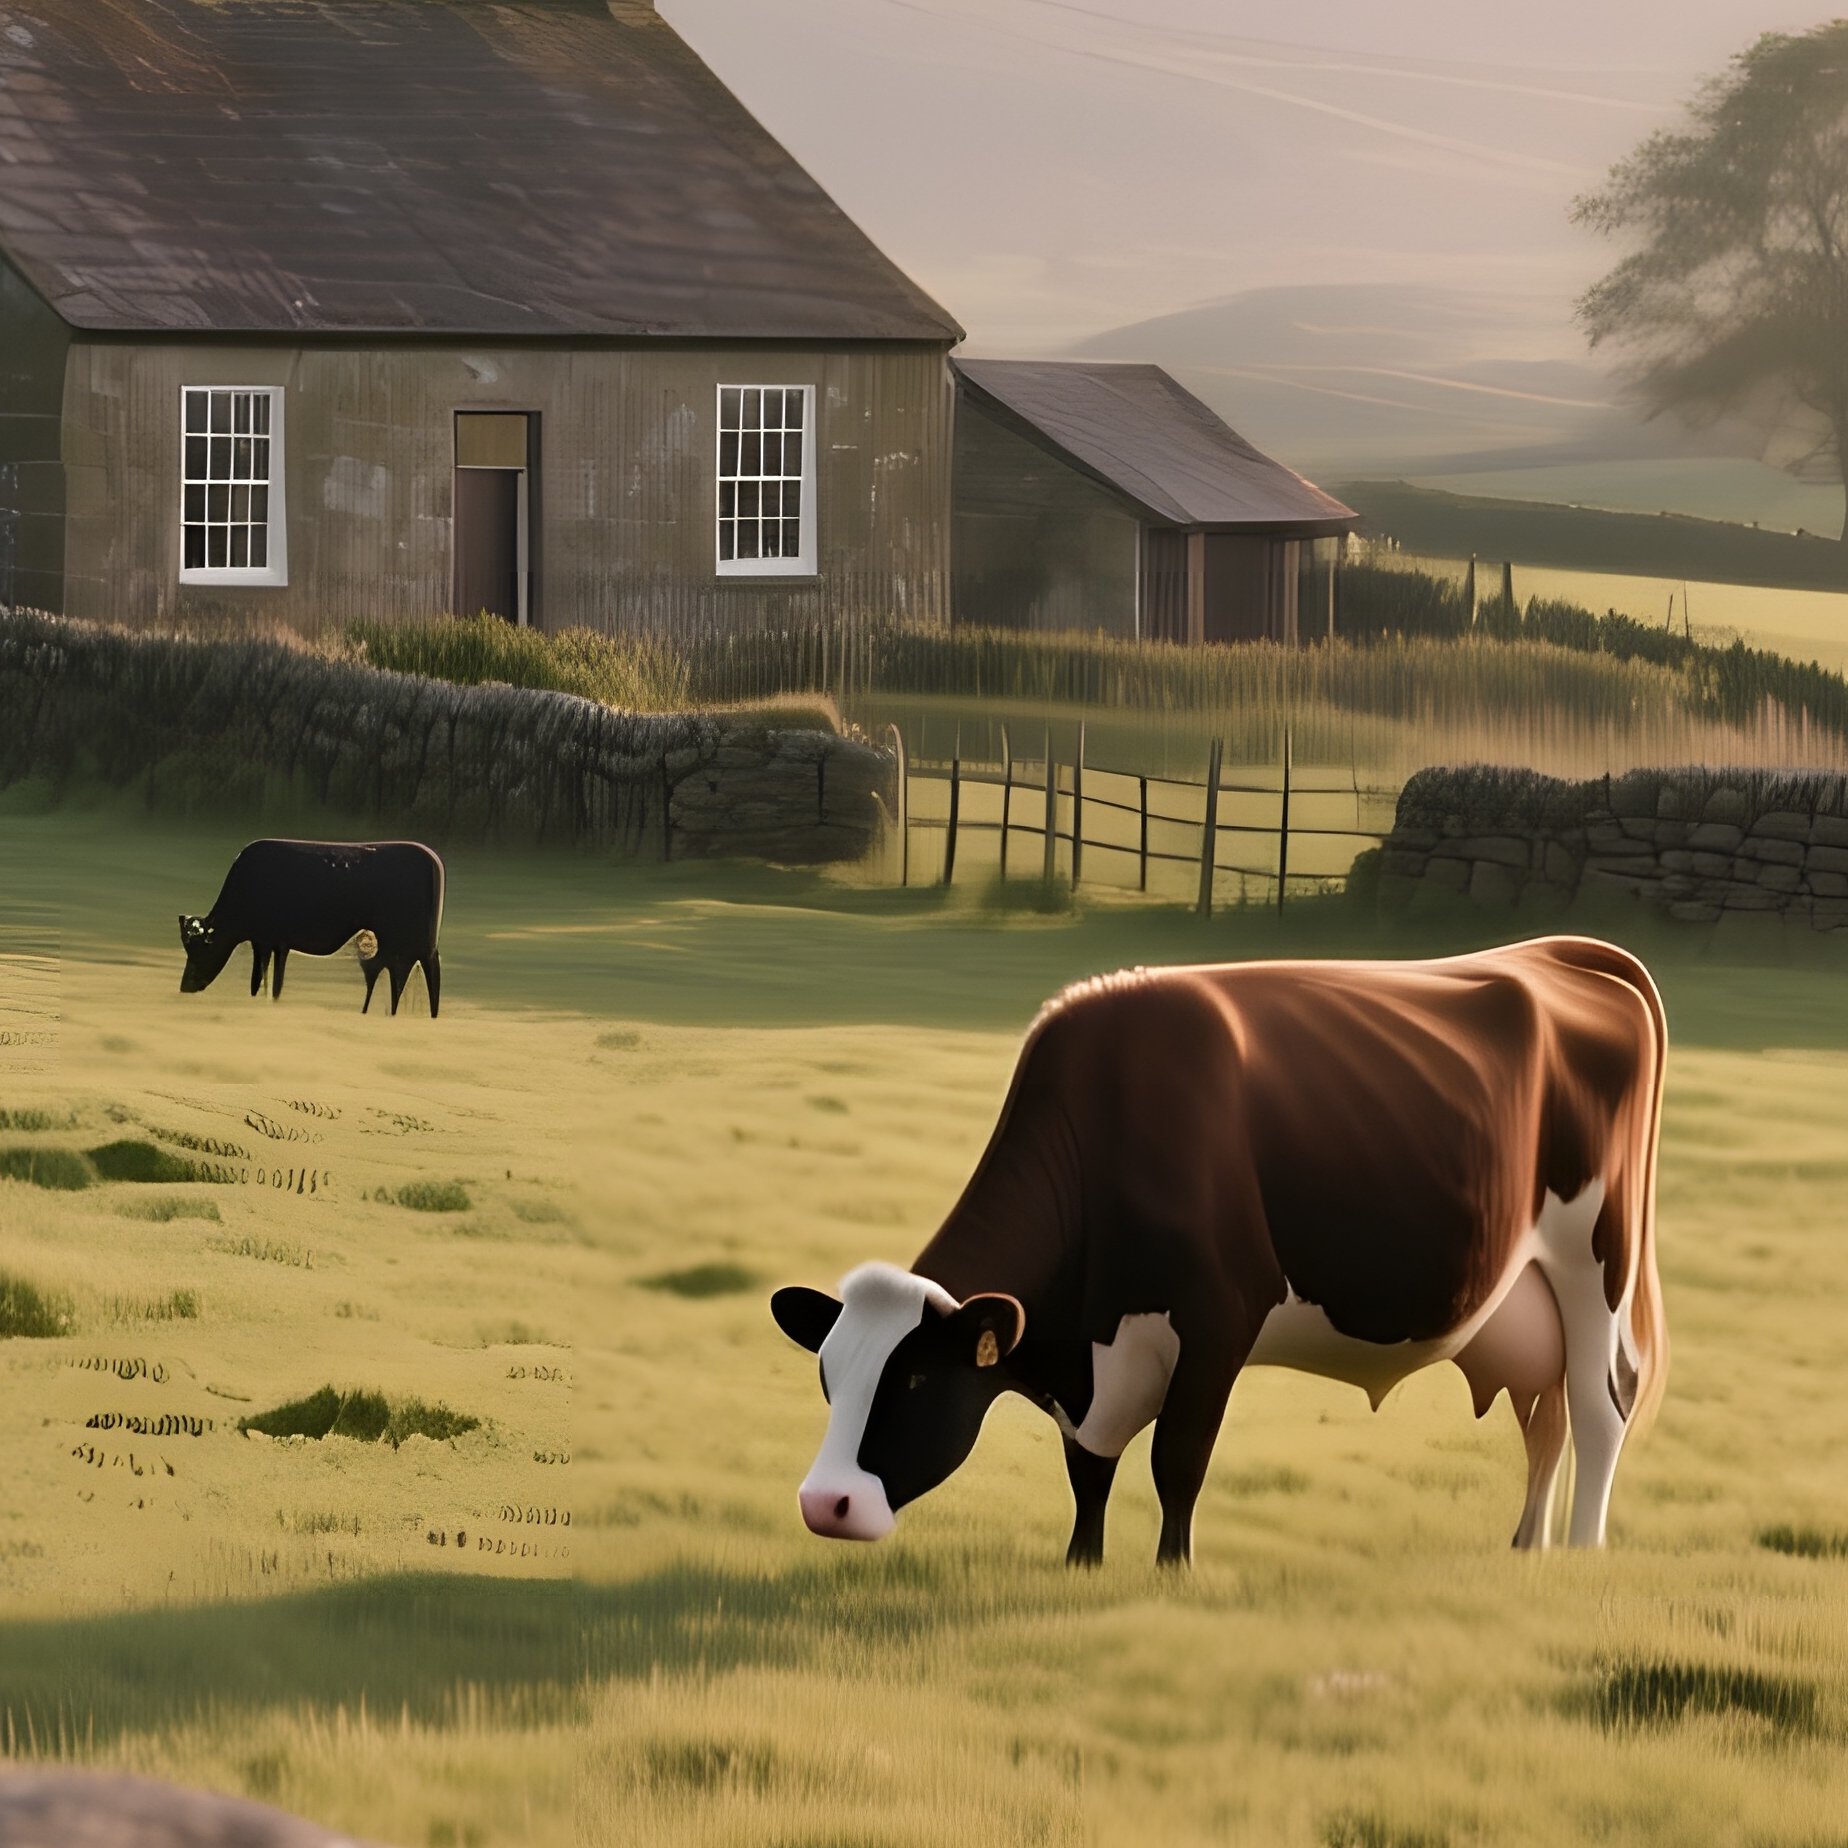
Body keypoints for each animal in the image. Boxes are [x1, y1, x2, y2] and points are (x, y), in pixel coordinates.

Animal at [178, 839, 445, 1016]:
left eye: (200, 950)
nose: (185, 987)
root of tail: (435, 862)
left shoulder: (268, 939)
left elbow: (266, 981)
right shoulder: (271, 941)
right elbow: (265, 982)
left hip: (409, 944)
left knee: (411, 975)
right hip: (409, 945)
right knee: (403, 975)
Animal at [771, 936, 1668, 1567]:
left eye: (916, 1379)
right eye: (828, 1376)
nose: (824, 1504)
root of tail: (1557, 953)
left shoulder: (1218, 1319)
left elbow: (1177, 1460)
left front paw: (1173, 1571)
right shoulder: (1096, 1363)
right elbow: (1088, 1467)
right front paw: (1082, 1562)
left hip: (1595, 1260)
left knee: (1598, 1404)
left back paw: (1582, 1547)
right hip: (1526, 1302)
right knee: (1544, 1413)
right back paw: (1527, 1544)